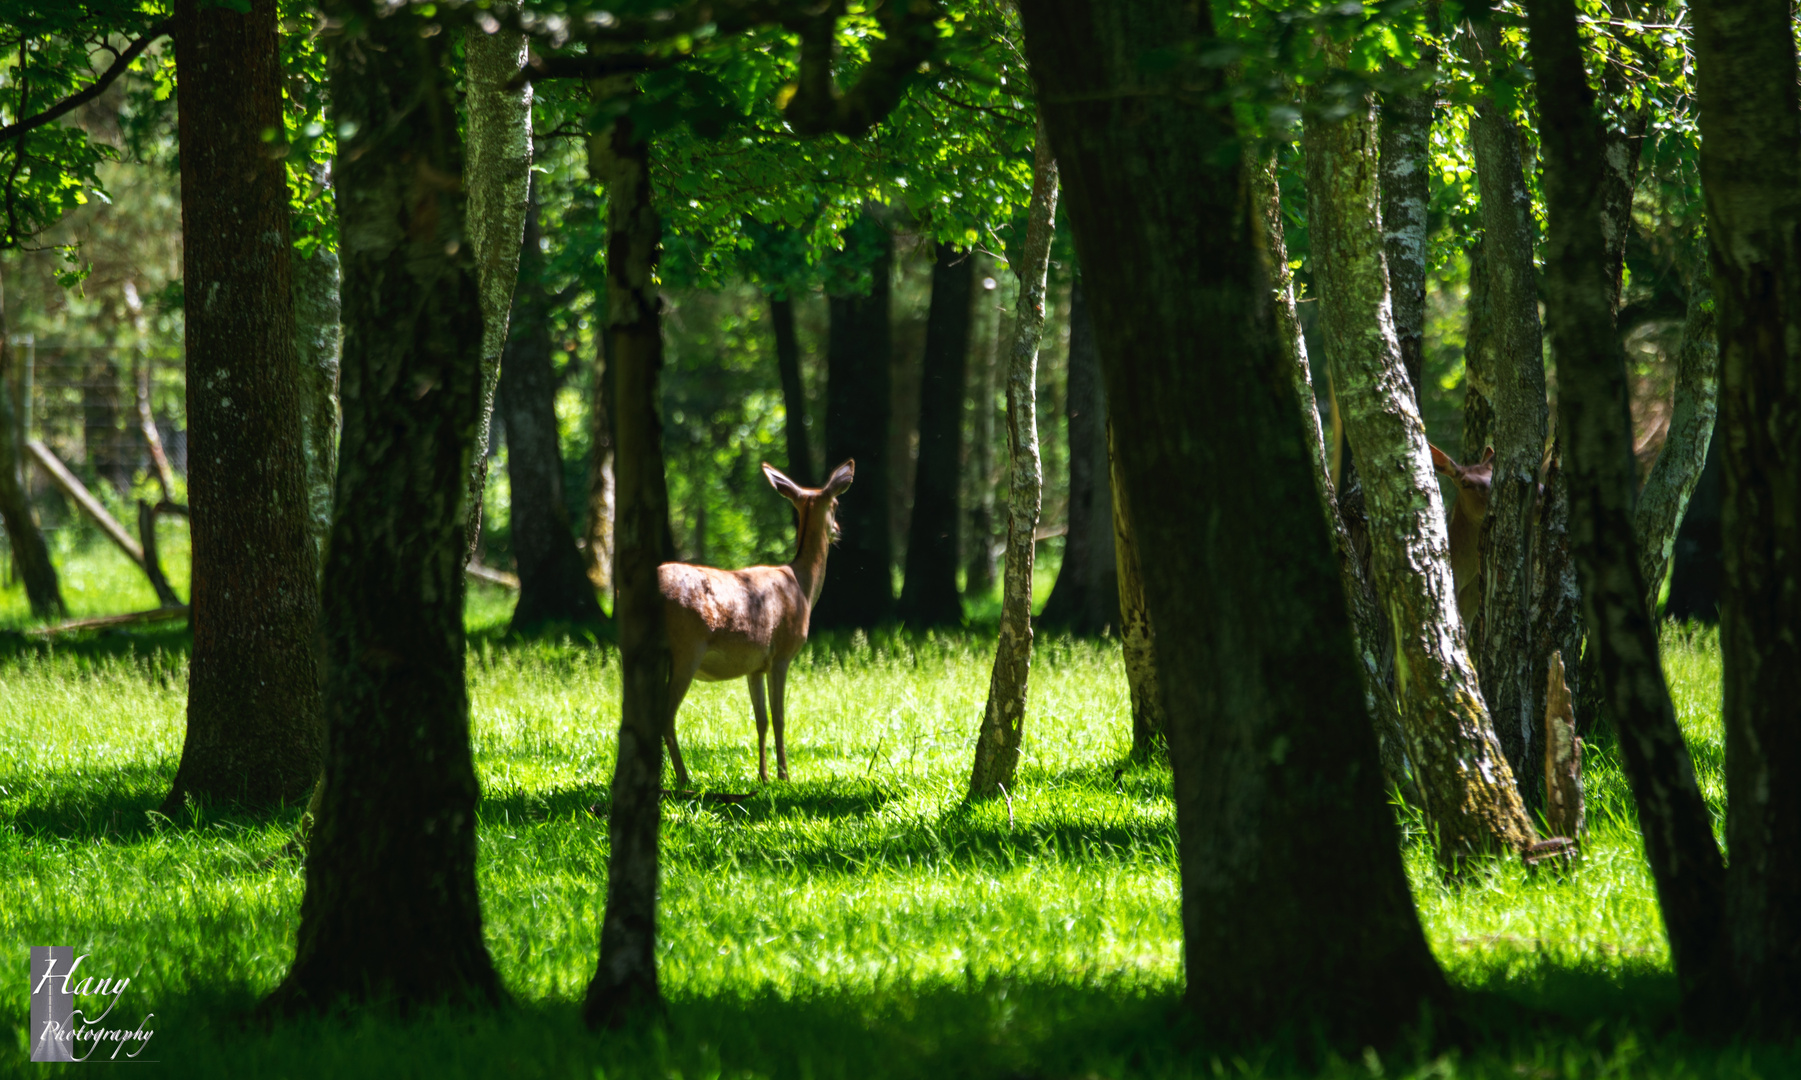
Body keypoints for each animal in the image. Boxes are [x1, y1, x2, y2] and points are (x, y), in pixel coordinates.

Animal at [662, 459, 857, 788]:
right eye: (837, 504)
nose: (839, 531)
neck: (802, 588)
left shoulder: (754, 664)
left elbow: (761, 719)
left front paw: (763, 776)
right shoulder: (781, 654)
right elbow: (779, 717)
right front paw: (784, 775)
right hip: (686, 648)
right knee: (665, 715)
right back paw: (684, 779)